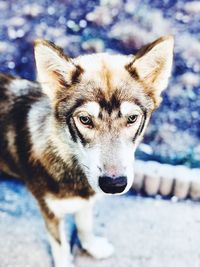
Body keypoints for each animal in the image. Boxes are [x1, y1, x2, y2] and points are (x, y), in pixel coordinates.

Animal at [0, 36, 173, 267]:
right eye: (84, 119)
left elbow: (85, 225)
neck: (70, 161)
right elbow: (61, 248)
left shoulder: (85, 200)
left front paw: (92, 247)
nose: (114, 184)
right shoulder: (51, 212)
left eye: (132, 118)